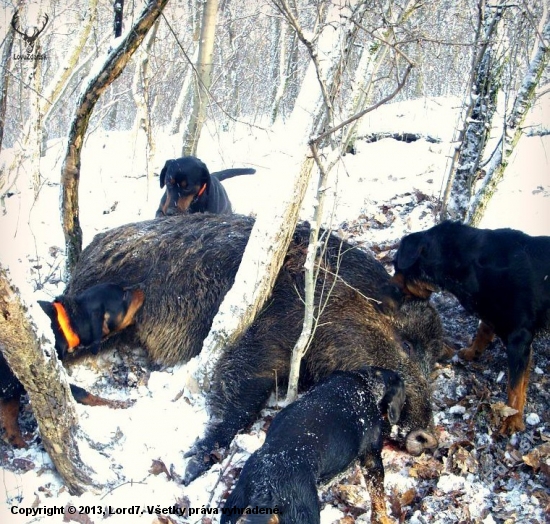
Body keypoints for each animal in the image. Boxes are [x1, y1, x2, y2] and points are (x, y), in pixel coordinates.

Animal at [0, 282, 144, 446]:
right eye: (124, 295)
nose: (142, 288)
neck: (65, 324)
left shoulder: (13, 385)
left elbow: (9, 419)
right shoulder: (39, 377)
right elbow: (82, 392)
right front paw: (118, 404)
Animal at [220, 366, 406, 524]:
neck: (365, 382)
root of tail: (264, 484)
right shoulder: (371, 458)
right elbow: (378, 500)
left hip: (233, 505)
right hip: (303, 514)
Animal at [392, 221, 550, 434]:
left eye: (396, 266)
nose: (388, 288)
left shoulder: (520, 336)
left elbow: (515, 386)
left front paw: (512, 419)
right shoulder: (489, 309)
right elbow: (483, 330)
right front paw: (472, 352)